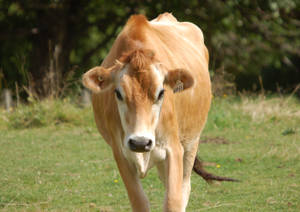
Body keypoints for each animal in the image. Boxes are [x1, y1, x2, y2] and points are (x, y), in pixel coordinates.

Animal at [82, 12, 234, 212]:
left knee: (184, 186)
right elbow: (140, 202)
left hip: (191, 142)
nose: (140, 141)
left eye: (161, 92)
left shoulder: (174, 149)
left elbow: (173, 201)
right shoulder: (121, 154)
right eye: (118, 93)